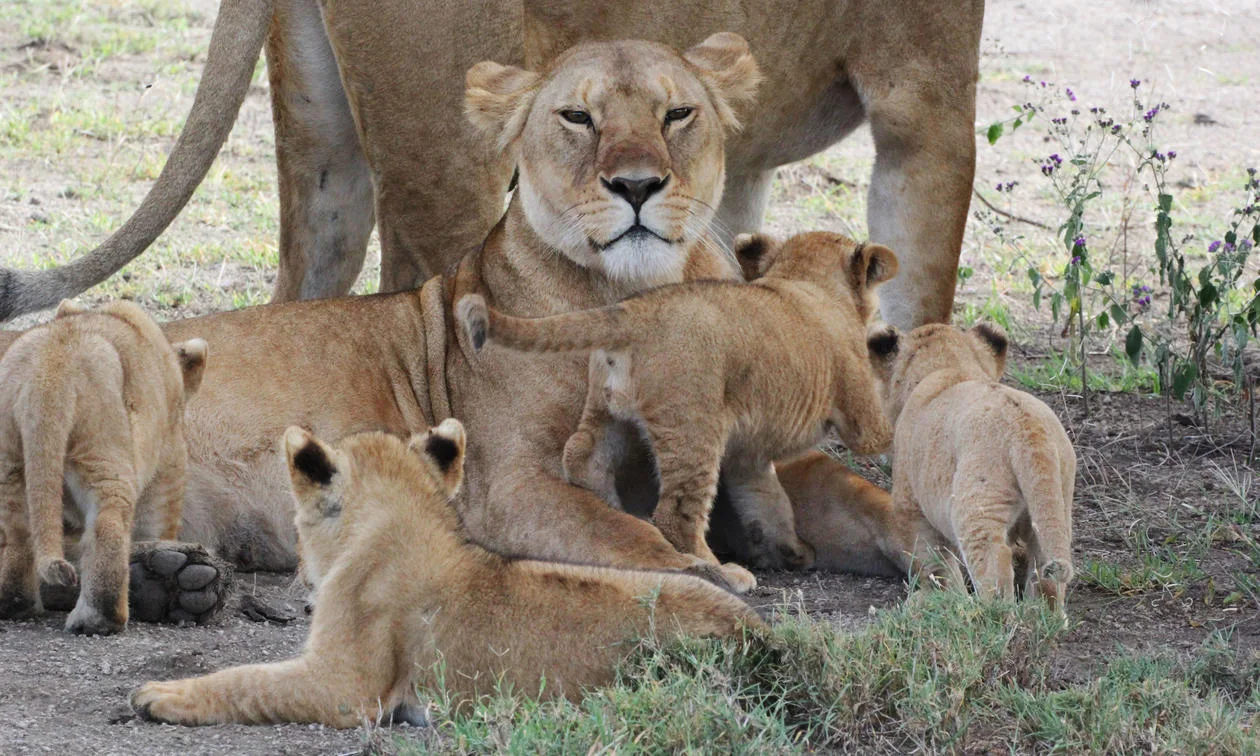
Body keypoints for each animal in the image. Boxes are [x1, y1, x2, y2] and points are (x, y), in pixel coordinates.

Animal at [0, 300, 206, 635]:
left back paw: (17, 604)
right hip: (102, 449)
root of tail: (48, 370)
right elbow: (156, 522)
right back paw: (101, 618)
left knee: (17, 531)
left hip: (11, 459)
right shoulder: (169, 460)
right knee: (107, 522)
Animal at [130, 419, 763, 727]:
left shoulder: (346, 688)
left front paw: (162, 694)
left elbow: (247, 680)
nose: (303, 575)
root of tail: (760, 637)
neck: (402, 519)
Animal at [455, 232, 897, 591]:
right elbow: (881, 424)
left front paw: (791, 550)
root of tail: (633, 312)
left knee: (580, 453)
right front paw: (888, 341)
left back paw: (612, 505)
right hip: (695, 427)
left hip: (608, 408)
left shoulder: (748, 454)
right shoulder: (860, 418)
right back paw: (726, 573)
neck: (802, 279)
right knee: (674, 514)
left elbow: (767, 500)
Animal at [866, 322, 1075, 614]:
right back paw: (1043, 616)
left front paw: (941, 601)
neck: (948, 368)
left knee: (995, 564)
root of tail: (1027, 427)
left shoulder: (912, 506)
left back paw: (984, 614)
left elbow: (936, 563)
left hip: (977, 504)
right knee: (1046, 571)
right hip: (1055, 500)